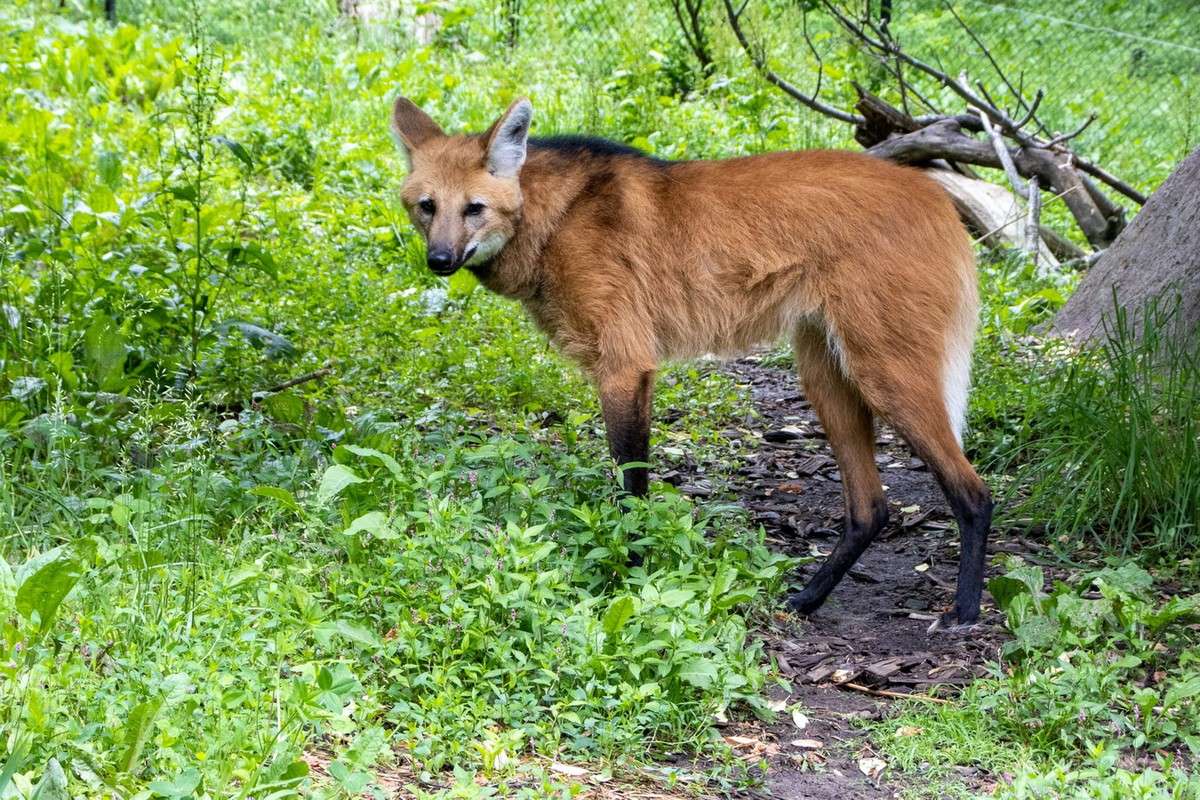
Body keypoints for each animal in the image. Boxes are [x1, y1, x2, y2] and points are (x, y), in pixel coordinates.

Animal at [391, 95, 993, 633]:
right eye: (427, 207)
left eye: (474, 208)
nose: (439, 261)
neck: (553, 218)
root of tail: (934, 196)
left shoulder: (624, 367)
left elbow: (630, 492)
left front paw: (630, 584)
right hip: (826, 373)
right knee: (871, 508)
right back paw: (804, 601)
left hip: (884, 372)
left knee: (973, 492)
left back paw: (962, 615)